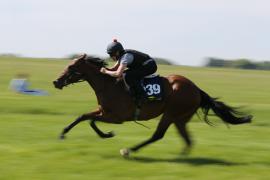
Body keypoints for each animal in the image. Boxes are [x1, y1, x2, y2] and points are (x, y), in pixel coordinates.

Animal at [53, 54, 253, 156]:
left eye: (71, 67)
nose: (56, 82)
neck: (108, 84)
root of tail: (196, 88)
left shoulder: (116, 117)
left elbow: (91, 120)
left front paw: (107, 134)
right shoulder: (104, 111)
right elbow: (84, 117)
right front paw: (63, 133)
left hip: (171, 114)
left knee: (158, 135)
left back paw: (129, 150)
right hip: (180, 118)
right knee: (187, 139)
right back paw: (181, 156)